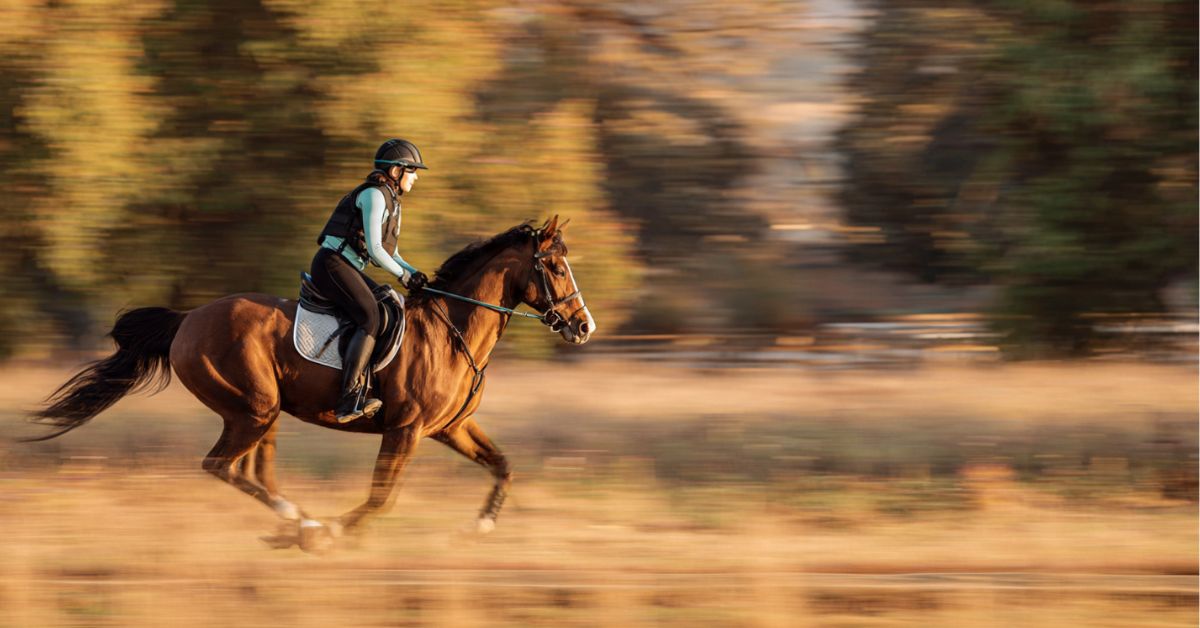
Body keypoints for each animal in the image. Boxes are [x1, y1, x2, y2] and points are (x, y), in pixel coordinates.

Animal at [28, 216, 594, 549]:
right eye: (555, 267)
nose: (584, 326)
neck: (451, 330)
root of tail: (187, 319)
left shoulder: (450, 428)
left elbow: (503, 465)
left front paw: (480, 525)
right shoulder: (406, 430)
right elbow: (381, 497)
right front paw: (335, 531)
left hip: (263, 414)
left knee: (254, 471)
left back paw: (296, 522)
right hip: (252, 409)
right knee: (220, 466)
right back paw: (303, 525)